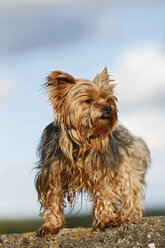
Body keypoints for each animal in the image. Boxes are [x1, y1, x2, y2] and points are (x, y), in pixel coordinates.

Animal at [35, 68, 151, 236]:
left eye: (108, 100)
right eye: (89, 101)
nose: (108, 108)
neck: (82, 141)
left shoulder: (103, 171)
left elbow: (105, 192)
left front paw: (107, 220)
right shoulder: (52, 174)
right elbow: (53, 199)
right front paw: (50, 226)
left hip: (129, 166)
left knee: (130, 191)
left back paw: (127, 217)